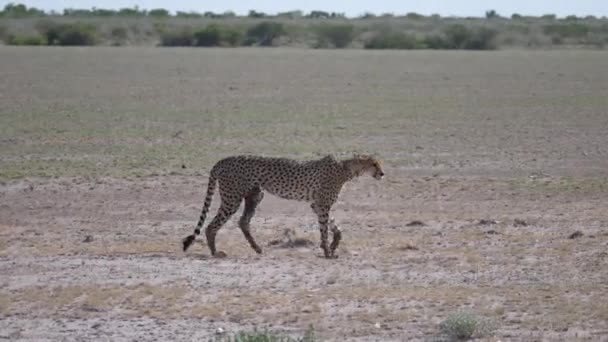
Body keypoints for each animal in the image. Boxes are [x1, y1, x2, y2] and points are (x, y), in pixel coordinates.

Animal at [179, 154, 384, 258]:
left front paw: (333, 245)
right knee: (211, 225)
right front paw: (327, 251)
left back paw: (257, 249)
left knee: (243, 222)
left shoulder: (316, 204)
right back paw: (215, 252)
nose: (382, 173)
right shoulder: (322, 204)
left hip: (255, 195)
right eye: (374, 164)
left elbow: (334, 227)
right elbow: (324, 229)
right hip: (232, 198)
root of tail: (223, 160)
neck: (345, 169)